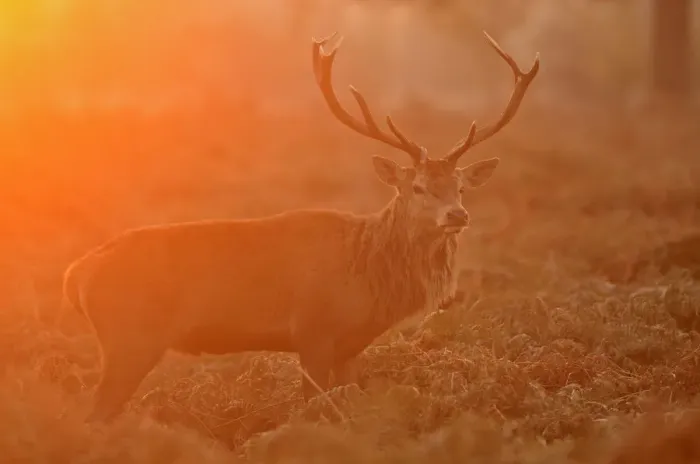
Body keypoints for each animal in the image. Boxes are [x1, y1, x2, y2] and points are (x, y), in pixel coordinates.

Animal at [62, 31, 539, 423]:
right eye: (418, 186)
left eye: (460, 187)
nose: (457, 216)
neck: (366, 276)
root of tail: (77, 274)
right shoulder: (313, 331)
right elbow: (314, 409)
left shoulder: (350, 347)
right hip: (128, 340)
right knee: (94, 414)